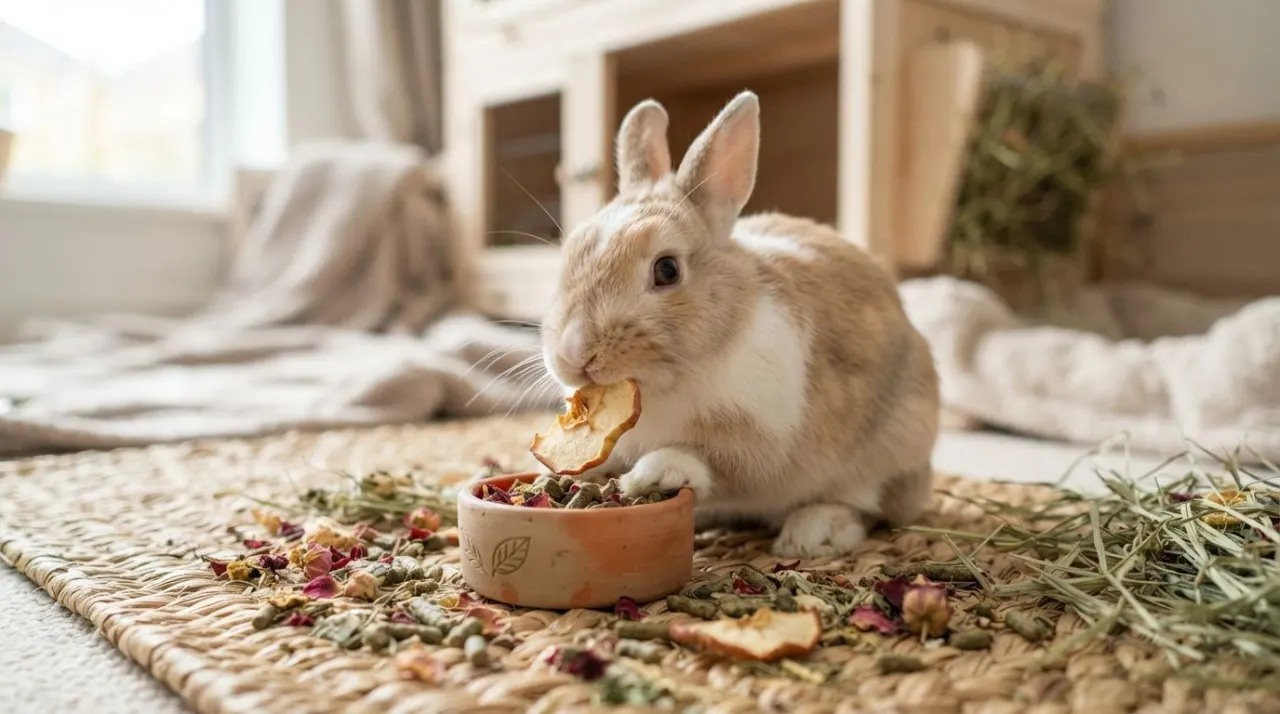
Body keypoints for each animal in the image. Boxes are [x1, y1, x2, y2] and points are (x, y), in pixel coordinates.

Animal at [538, 90, 940, 558]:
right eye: (570, 253)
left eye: (667, 270)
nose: (573, 353)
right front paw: (567, 475)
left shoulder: (761, 438)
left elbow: (718, 464)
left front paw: (652, 474)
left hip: (892, 448)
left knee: (867, 507)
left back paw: (812, 532)